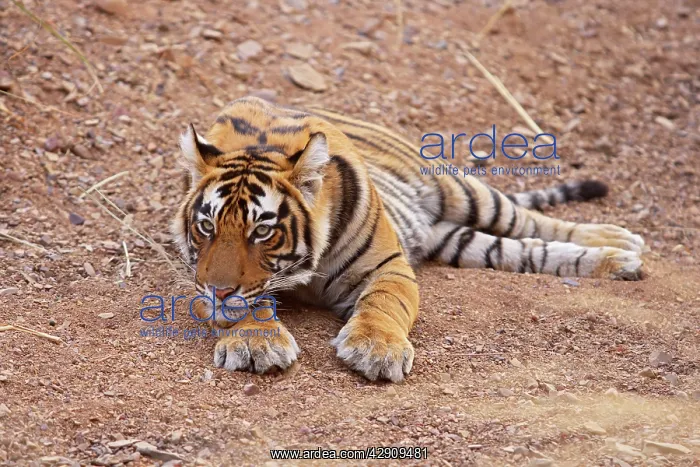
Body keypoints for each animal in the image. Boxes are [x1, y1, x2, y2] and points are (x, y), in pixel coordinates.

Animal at [171, 96, 644, 382]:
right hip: (456, 238)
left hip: (461, 191)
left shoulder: (388, 265)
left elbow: (384, 303)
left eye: (263, 231)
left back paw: (619, 240)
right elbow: (245, 304)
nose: (217, 289)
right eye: (207, 226)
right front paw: (256, 344)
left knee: (529, 221)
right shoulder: (199, 276)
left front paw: (376, 350)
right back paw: (619, 261)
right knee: (527, 250)